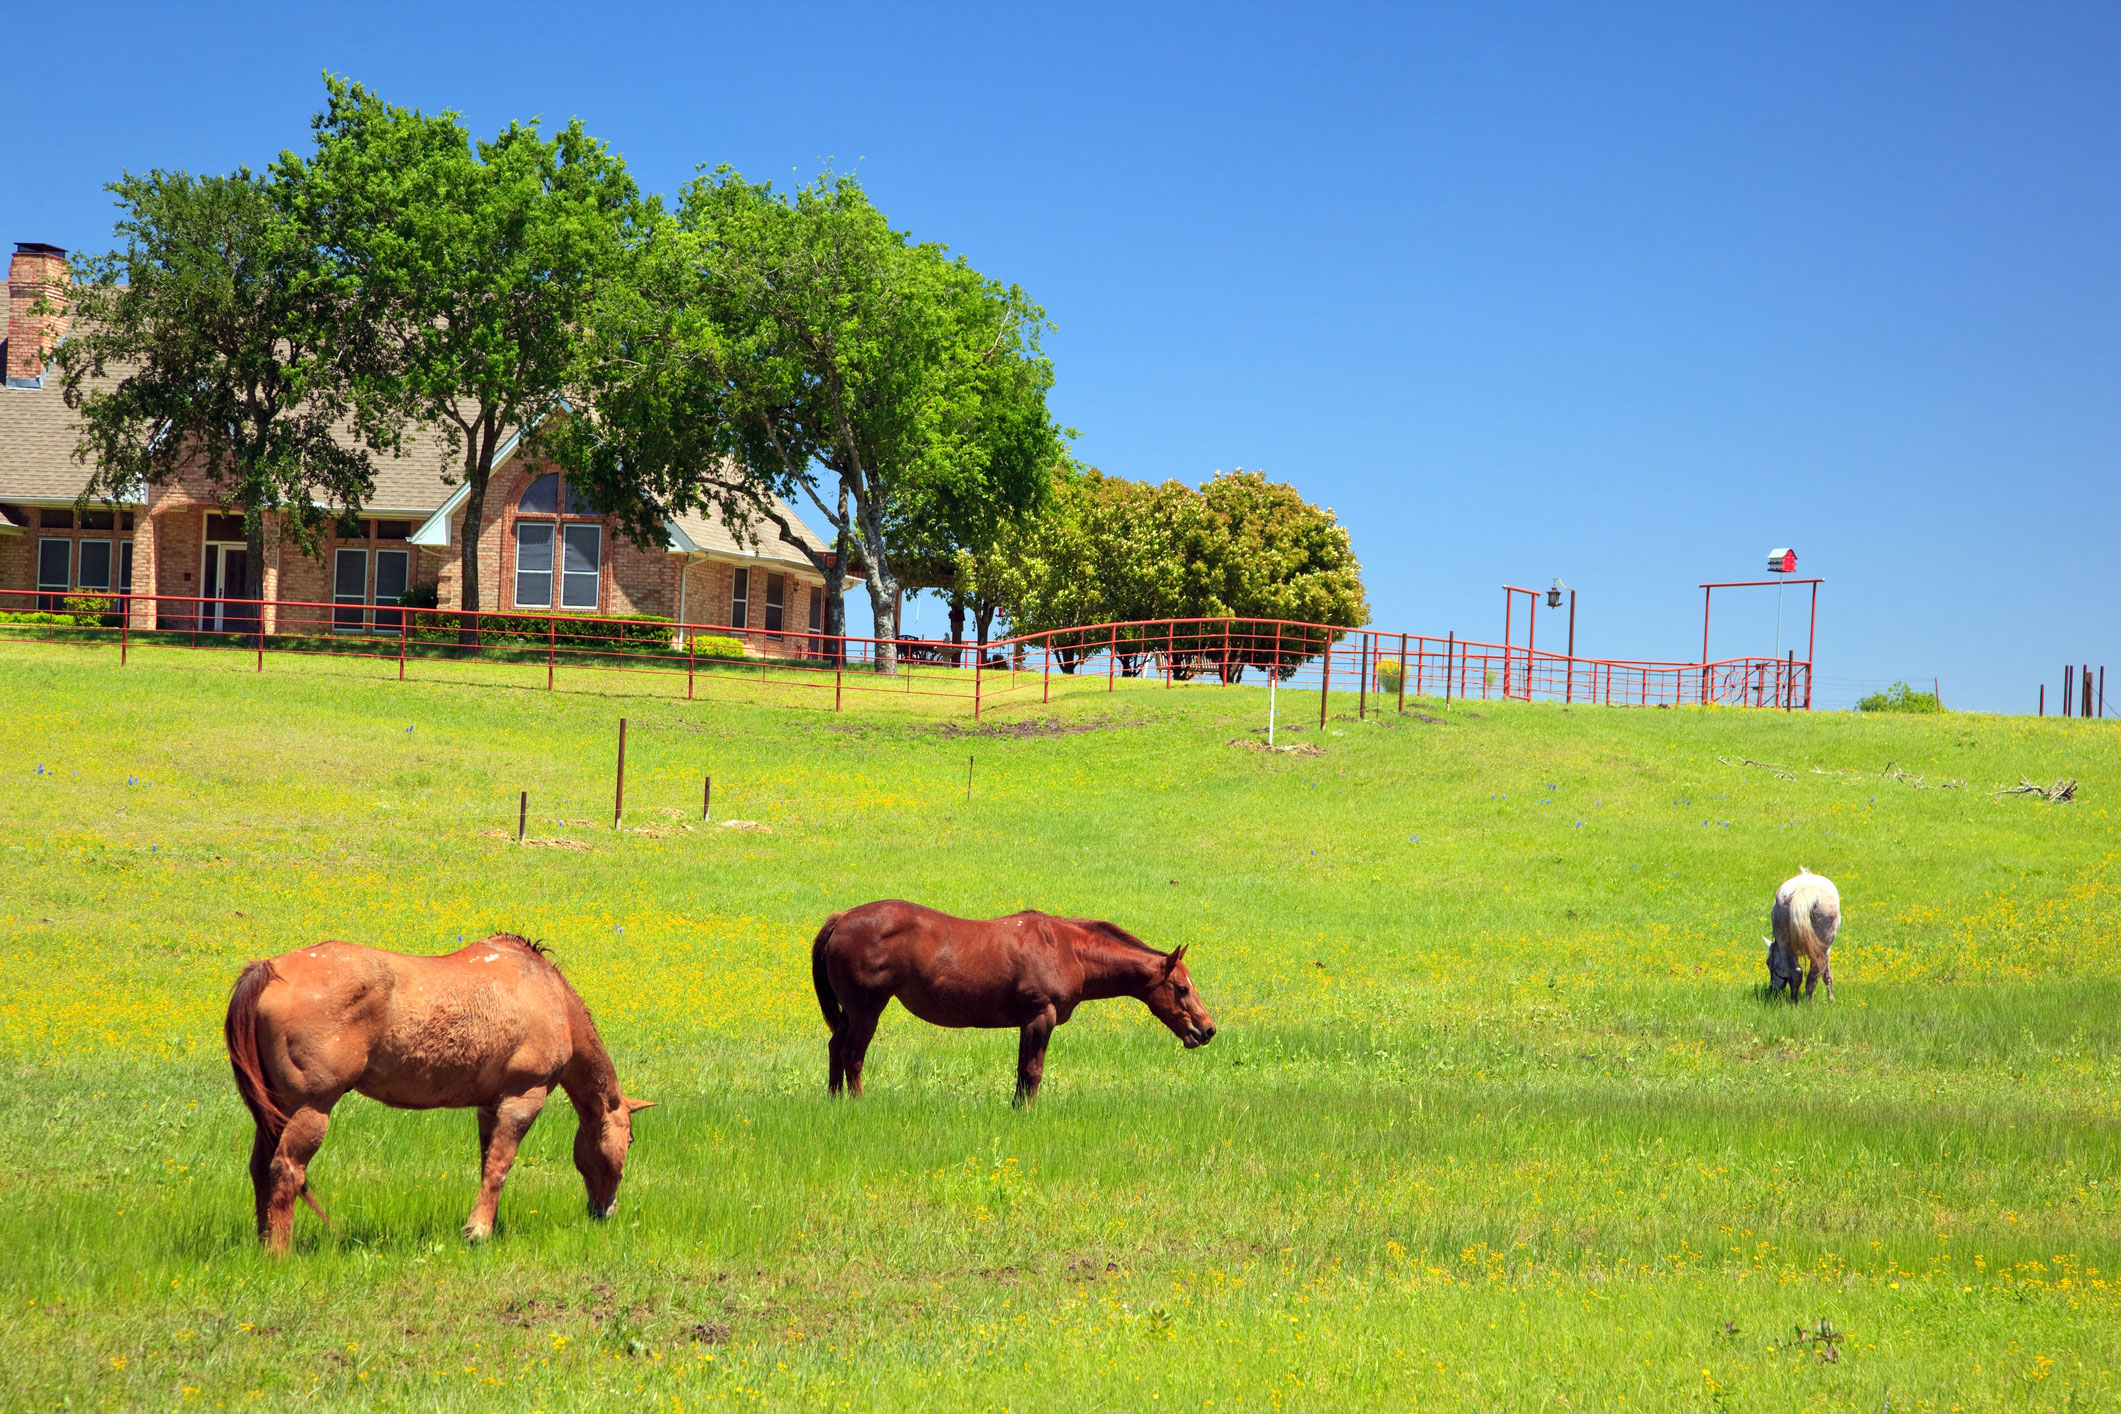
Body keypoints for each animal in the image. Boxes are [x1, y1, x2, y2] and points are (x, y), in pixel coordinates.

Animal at [220, 932, 653, 1255]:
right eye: (630, 1140)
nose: (605, 1211)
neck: (549, 994)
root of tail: (269, 970)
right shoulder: (523, 1098)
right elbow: (500, 1168)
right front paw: (478, 1232)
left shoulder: (488, 1106)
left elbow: (486, 1165)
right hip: (310, 1108)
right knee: (285, 1170)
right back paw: (280, 1253)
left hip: (275, 1111)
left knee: (260, 1168)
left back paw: (263, 1243)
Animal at [805, 907, 1221, 1102]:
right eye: (1181, 988)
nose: (1207, 1029)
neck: (1067, 949)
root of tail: (842, 919)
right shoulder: (1040, 1017)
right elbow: (1032, 1072)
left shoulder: (1028, 1022)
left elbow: (1022, 1072)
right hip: (866, 1011)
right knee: (853, 1056)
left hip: (850, 1014)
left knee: (835, 1048)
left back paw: (834, 1100)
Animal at [1773, 869, 1841, 1000]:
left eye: (1768, 963)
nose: (1772, 989)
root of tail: (1803, 891)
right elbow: (1827, 974)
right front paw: (1831, 999)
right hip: (1823, 945)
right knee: (1814, 974)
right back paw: (1807, 1000)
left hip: (1785, 943)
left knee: (1797, 971)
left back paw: (1794, 1000)